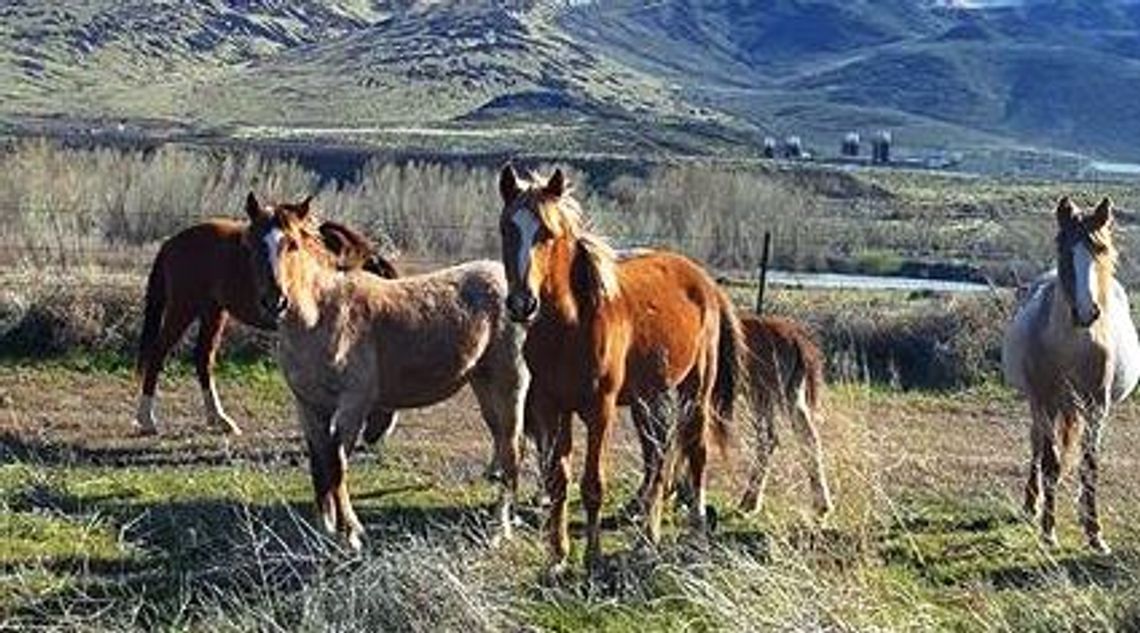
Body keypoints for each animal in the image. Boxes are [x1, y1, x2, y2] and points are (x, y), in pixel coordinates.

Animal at [137, 192, 399, 437]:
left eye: (293, 244)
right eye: (252, 245)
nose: (275, 301)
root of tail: (171, 243)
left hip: (213, 311)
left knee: (203, 357)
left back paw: (219, 419)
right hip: (183, 307)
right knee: (158, 352)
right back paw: (147, 420)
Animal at [497, 167, 743, 574]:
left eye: (547, 233)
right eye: (506, 229)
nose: (521, 304)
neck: (571, 325)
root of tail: (706, 283)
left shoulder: (600, 410)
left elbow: (593, 484)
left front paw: (592, 557)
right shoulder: (552, 408)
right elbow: (557, 480)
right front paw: (557, 557)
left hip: (695, 393)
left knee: (696, 452)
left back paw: (695, 531)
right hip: (649, 398)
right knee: (657, 458)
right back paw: (647, 537)